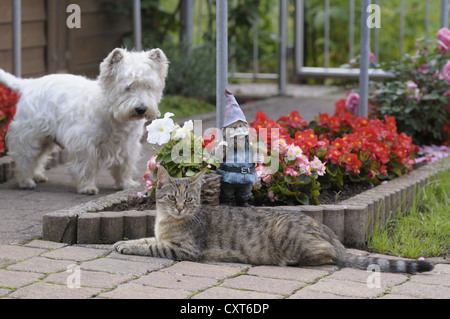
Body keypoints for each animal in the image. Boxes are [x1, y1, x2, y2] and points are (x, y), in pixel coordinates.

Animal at [0, 47, 169, 195]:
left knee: (38, 156)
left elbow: (124, 166)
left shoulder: (128, 145)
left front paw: (127, 184)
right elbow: (86, 166)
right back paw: (26, 181)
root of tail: (28, 84)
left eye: (148, 87)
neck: (113, 114)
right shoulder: (85, 144)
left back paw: (37, 175)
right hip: (30, 134)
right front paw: (87, 187)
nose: (141, 109)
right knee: (25, 156)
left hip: (45, 137)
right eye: (128, 87)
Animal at [114, 168, 434, 276]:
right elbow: (145, 239)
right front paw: (121, 242)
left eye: (189, 200)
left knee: (329, 257)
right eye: (171, 198)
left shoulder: (183, 249)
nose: (180, 208)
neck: (167, 221)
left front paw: (128, 246)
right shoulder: (162, 237)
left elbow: (150, 247)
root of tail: (328, 231)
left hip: (291, 239)